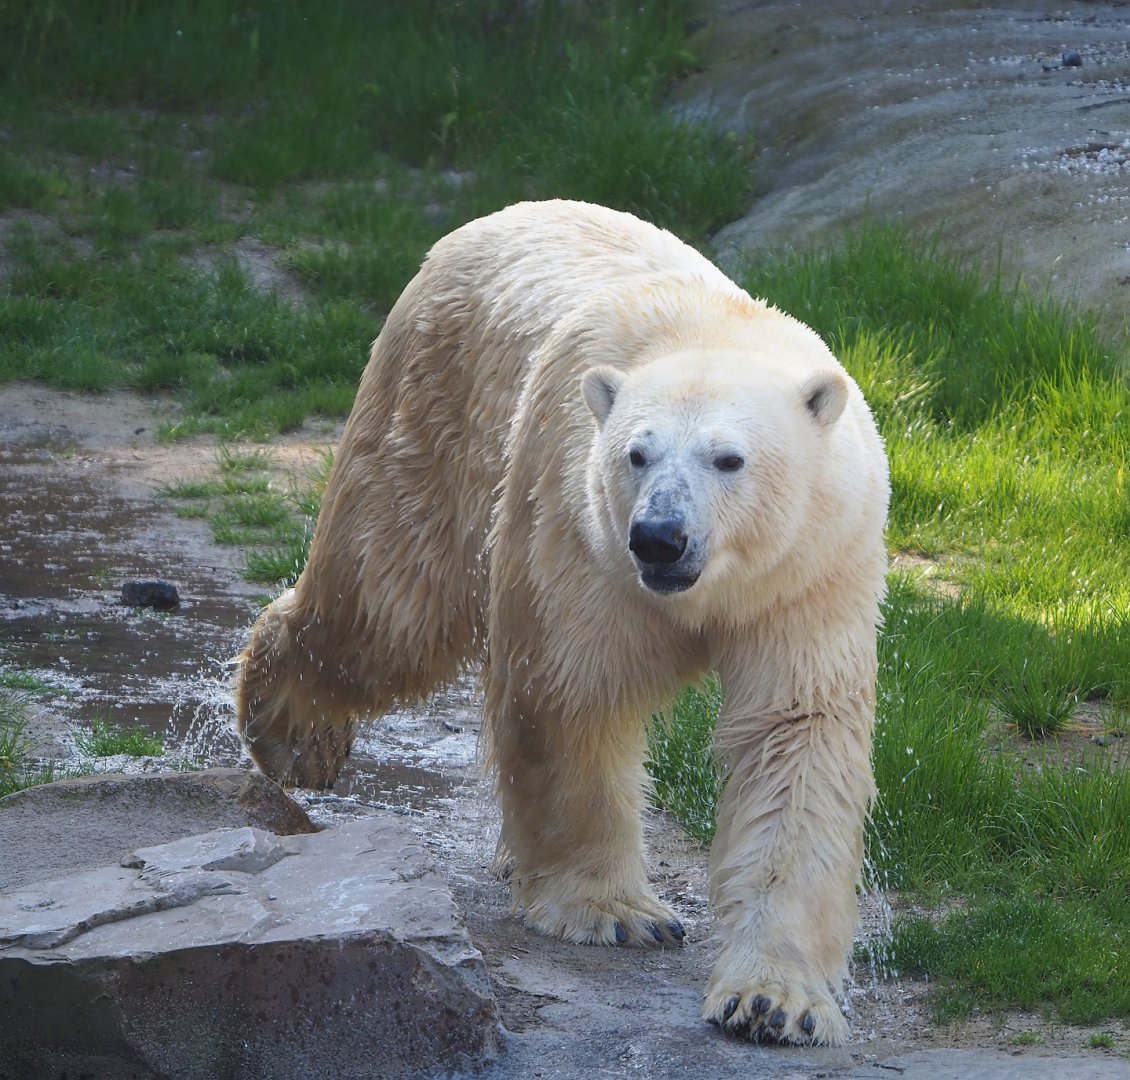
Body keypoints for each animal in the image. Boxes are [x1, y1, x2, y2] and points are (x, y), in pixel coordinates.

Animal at [235, 199, 889, 1046]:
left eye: (729, 459)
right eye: (637, 454)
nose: (659, 537)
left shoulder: (809, 571)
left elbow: (794, 735)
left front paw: (774, 1003)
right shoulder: (578, 526)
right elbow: (572, 691)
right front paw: (617, 913)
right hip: (438, 409)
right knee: (387, 604)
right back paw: (292, 737)